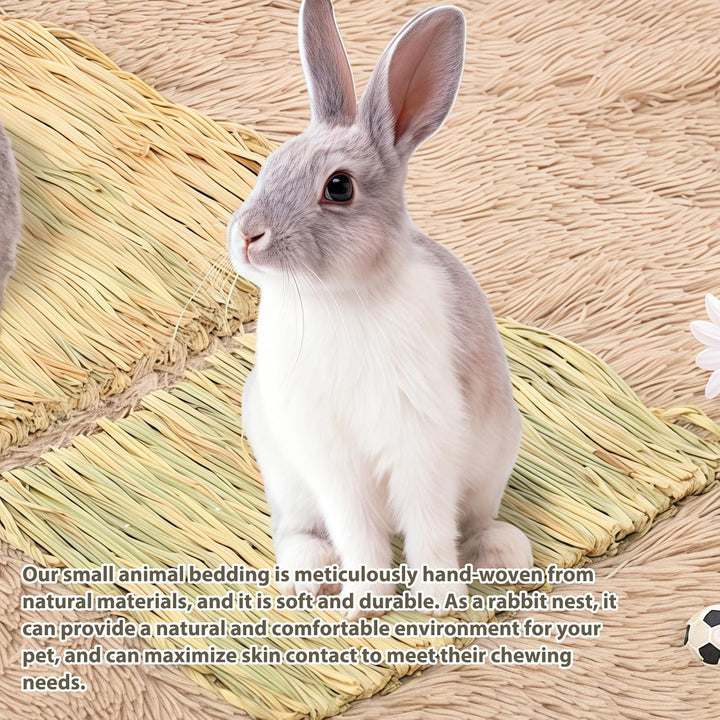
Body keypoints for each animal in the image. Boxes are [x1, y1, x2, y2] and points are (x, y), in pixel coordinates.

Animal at [227, 0, 533, 619]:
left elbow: (429, 526)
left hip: (492, 463)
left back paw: (502, 552)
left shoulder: (422, 442)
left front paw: (437, 602)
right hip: (285, 476)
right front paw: (366, 603)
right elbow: (357, 528)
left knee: (473, 521)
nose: (247, 236)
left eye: (339, 187)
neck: (340, 299)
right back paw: (312, 574)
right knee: (296, 530)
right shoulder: (330, 458)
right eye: (269, 165)